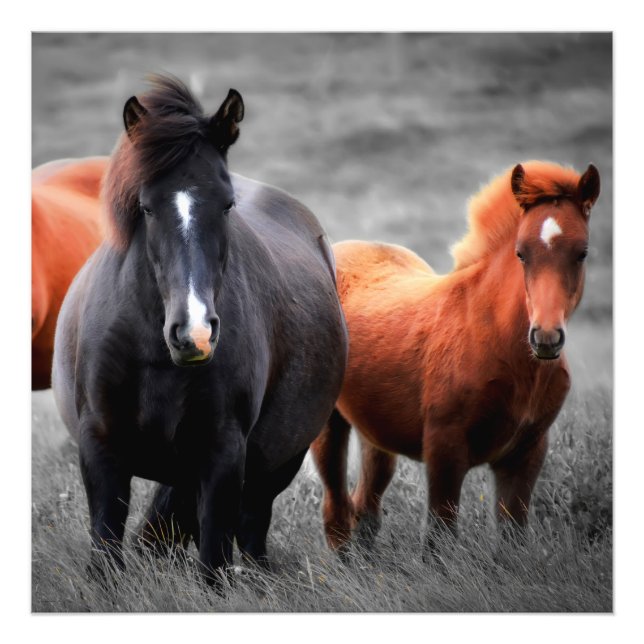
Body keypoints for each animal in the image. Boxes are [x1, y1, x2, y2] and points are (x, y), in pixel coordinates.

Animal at [52, 74, 347, 584]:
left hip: (277, 462)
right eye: (146, 207)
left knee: (251, 530)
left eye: (227, 205)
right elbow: (106, 554)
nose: (195, 334)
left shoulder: (223, 453)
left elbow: (213, 562)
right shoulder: (100, 447)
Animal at [311, 160, 600, 553]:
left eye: (582, 252)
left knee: (366, 505)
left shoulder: (527, 453)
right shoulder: (444, 449)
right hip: (328, 423)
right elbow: (439, 538)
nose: (545, 338)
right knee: (336, 511)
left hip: (376, 432)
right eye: (521, 252)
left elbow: (512, 538)